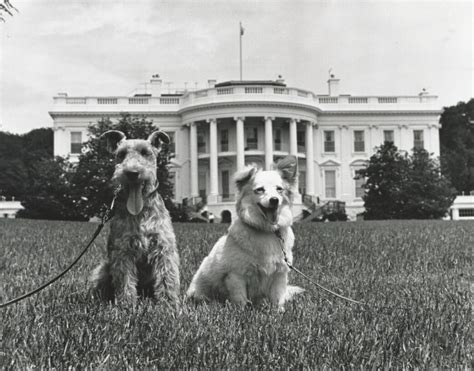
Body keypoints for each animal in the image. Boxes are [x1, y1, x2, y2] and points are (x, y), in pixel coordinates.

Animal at [186, 155, 304, 310]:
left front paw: (279, 311)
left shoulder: (280, 273)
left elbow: (277, 297)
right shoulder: (236, 275)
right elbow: (240, 299)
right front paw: (241, 311)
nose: (274, 200)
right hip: (200, 289)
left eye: (280, 189)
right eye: (259, 190)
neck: (267, 231)